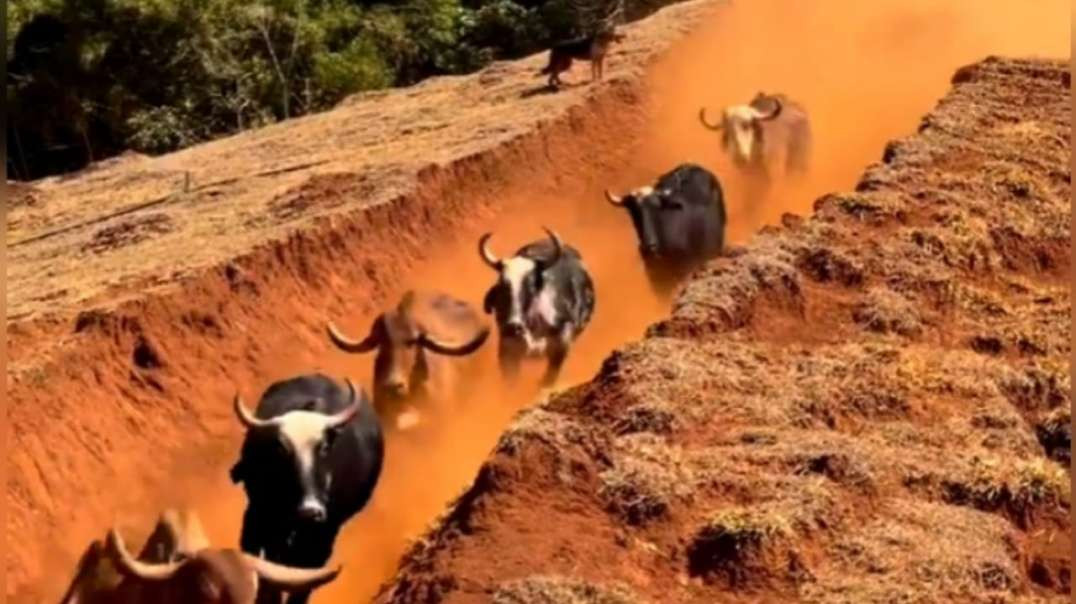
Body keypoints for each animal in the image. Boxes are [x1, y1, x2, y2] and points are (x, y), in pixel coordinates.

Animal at [479, 226, 598, 385]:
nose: (512, 327)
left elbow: (548, 379)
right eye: (502, 285)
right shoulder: (507, 353)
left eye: (531, 286)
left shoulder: (561, 347)